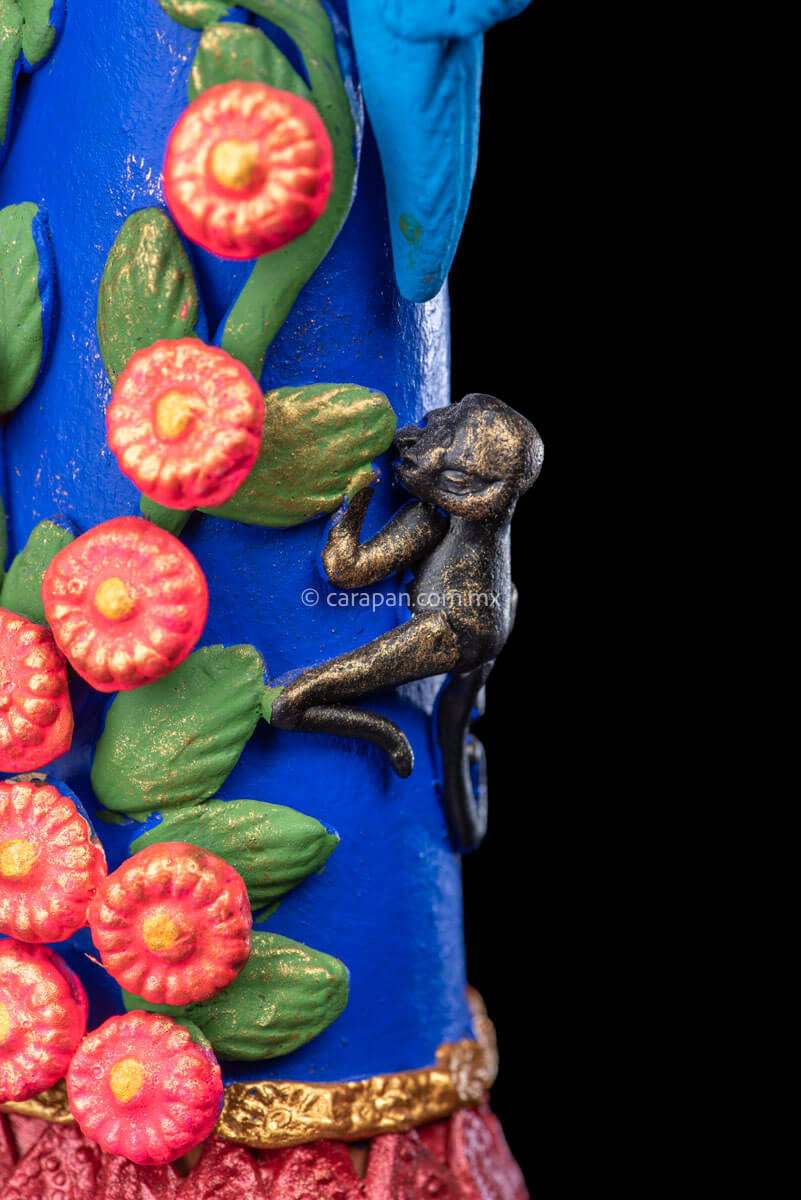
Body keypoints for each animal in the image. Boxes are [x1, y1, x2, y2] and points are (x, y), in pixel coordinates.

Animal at [270, 393, 543, 851]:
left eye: (454, 476)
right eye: (433, 417)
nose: (408, 448)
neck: (495, 516)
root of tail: (481, 654)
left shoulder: (426, 514)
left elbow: (345, 571)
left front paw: (361, 486)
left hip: (439, 642)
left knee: (291, 704)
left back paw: (391, 743)